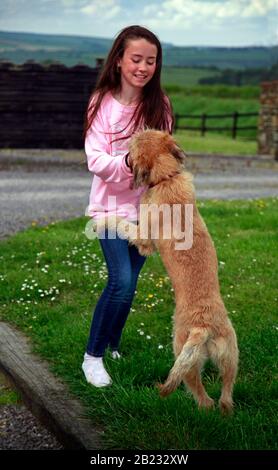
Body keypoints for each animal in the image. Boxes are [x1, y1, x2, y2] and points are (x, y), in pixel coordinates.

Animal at [127, 129, 238, 412]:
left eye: (133, 144)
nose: (131, 133)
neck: (167, 178)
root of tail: (203, 327)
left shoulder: (144, 240)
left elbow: (122, 225)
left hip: (182, 352)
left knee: (202, 397)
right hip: (231, 355)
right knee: (225, 395)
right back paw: (226, 409)